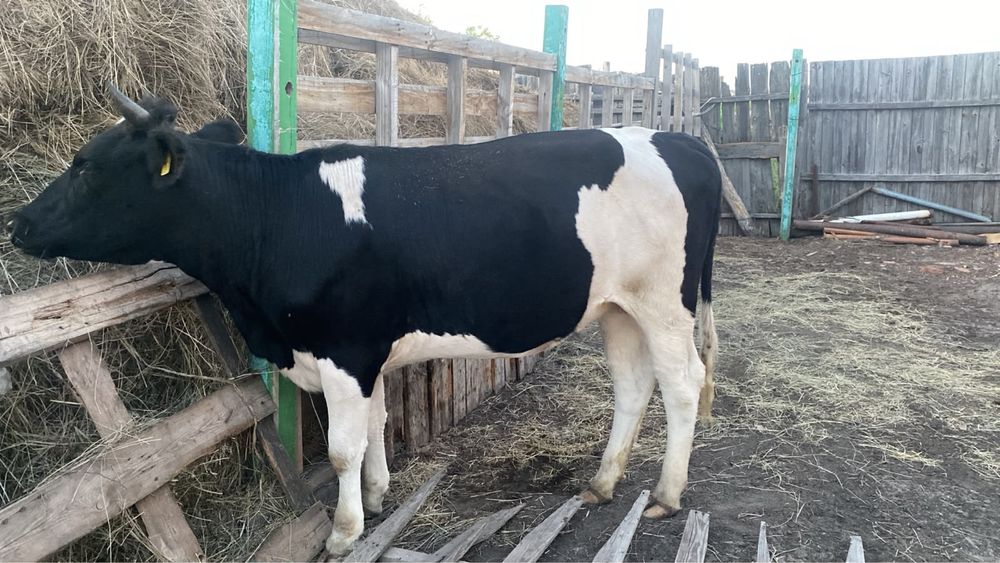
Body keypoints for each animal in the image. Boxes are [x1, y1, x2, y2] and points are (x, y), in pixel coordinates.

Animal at [8, 85, 721, 556]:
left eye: (85, 165)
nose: (17, 222)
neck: (280, 216)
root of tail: (674, 137)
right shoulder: (366, 350)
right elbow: (377, 422)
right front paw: (379, 495)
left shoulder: (346, 347)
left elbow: (341, 446)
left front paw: (346, 529)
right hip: (617, 306)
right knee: (633, 385)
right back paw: (603, 482)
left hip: (665, 302)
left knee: (685, 383)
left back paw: (666, 493)